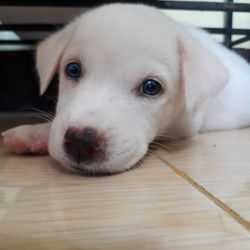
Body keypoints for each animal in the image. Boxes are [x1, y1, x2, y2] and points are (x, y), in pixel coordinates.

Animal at [1, 3, 250, 174]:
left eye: (151, 87)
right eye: (72, 69)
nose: (82, 141)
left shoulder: (187, 125)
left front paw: (38, 133)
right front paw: (34, 133)